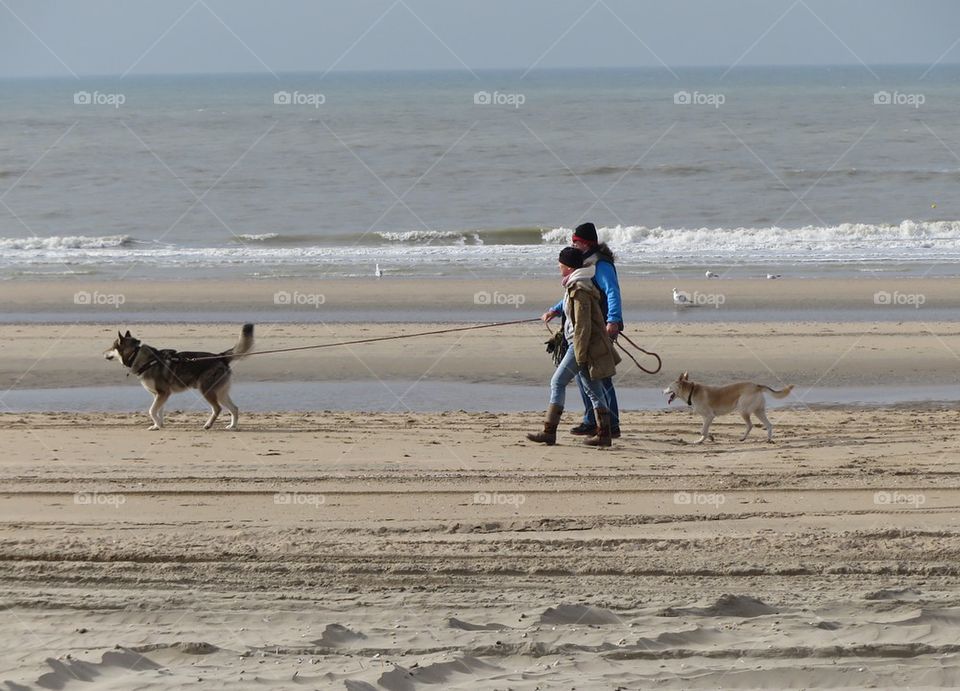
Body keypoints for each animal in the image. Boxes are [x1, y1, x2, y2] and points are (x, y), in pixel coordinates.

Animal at [105, 326, 255, 432]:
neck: (136, 356)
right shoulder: (159, 395)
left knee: (217, 409)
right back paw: (233, 426)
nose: (103, 353)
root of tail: (220, 356)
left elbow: (151, 411)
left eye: (111, 347)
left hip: (207, 391)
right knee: (234, 408)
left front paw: (157, 424)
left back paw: (208, 425)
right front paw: (158, 425)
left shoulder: (163, 393)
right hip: (220, 393)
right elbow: (158, 411)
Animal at [664, 374, 792, 444]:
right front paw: (706, 438)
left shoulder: (709, 416)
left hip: (743, 410)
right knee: (769, 425)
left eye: (669, 387)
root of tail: (757, 385)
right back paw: (768, 440)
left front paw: (704, 439)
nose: (662, 391)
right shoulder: (706, 418)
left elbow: (703, 431)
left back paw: (744, 438)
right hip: (758, 411)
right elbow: (704, 430)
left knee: (750, 425)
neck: (692, 391)